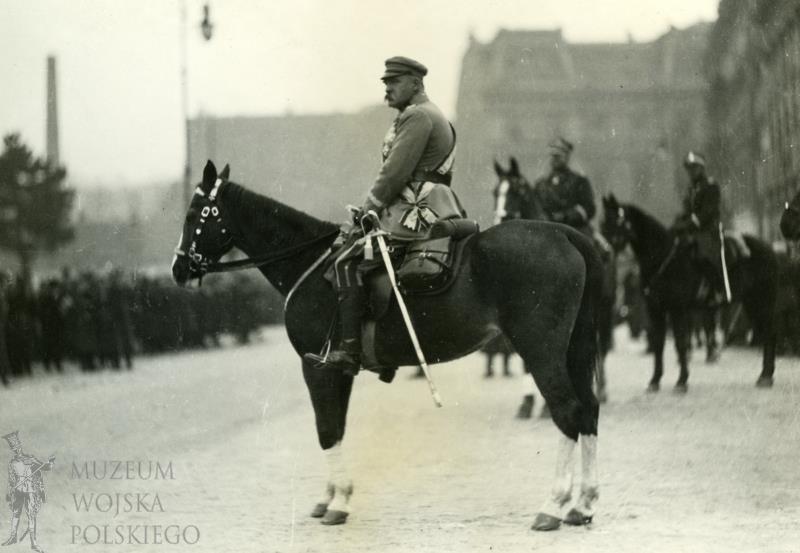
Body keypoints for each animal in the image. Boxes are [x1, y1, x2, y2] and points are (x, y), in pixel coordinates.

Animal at [173, 161, 600, 532]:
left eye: (195, 212)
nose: (178, 269)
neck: (311, 265)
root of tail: (564, 234)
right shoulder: (337, 369)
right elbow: (337, 427)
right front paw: (331, 496)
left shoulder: (315, 367)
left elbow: (325, 429)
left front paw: (338, 502)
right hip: (573, 351)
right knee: (589, 409)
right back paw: (583, 504)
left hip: (540, 350)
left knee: (567, 410)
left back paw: (553, 506)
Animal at [494, 155, 612, 402]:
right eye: (495, 192)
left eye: (516, 191)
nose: (498, 220)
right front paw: (528, 402)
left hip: (604, 308)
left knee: (602, 346)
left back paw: (601, 390)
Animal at [604, 196, 780, 390]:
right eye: (603, 223)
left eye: (616, 222)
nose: (605, 252)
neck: (664, 258)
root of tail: (768, 247)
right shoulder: (656, 310)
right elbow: (658, 344)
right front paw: (655, 380)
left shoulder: (677, 310)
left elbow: (681, 343)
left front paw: (681, 381)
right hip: (750, 303)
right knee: (764, 332)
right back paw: (765, 374)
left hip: (761, 301)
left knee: (770, 333)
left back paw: (766, 376)